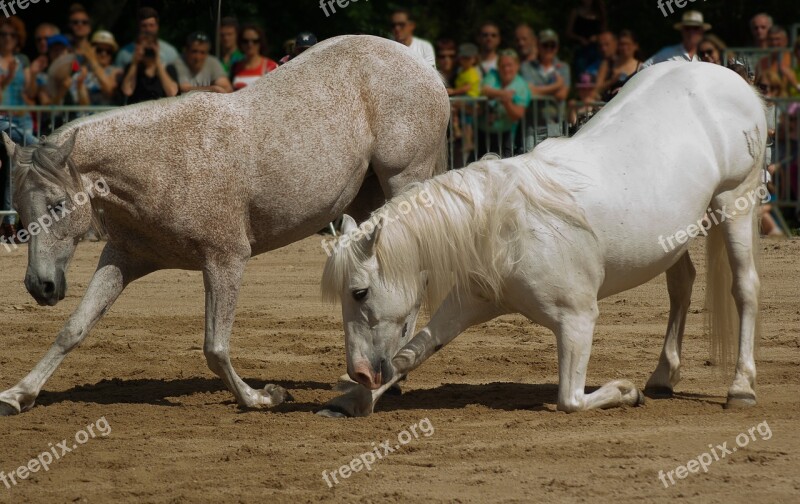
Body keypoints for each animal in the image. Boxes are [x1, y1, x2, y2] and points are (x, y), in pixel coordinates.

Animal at [0, 34, 450, 414]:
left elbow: (215, 347)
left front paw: (262, 397)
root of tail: (422, 66)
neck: (164, 165)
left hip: (403, 181)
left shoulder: (226, 260)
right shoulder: (124, 258)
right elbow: (74, 328)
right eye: (19, 211)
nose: (40, 286)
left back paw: (386, 379)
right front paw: (18, 394)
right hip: (369, 199)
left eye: (58, 205)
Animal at [318, 62, 768, 418]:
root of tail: (731, 77)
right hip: (677, 237)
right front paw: (351, 401)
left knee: (745, 288)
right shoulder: (469, 304)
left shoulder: (577, 320)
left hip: (735, 202)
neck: (501, 228)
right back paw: (662, 376)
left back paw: (741, 387)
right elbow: (413, 352)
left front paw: (626, 391)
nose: (358, 370)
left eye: (359, 292)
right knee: (681, 286)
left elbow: (571, 399)